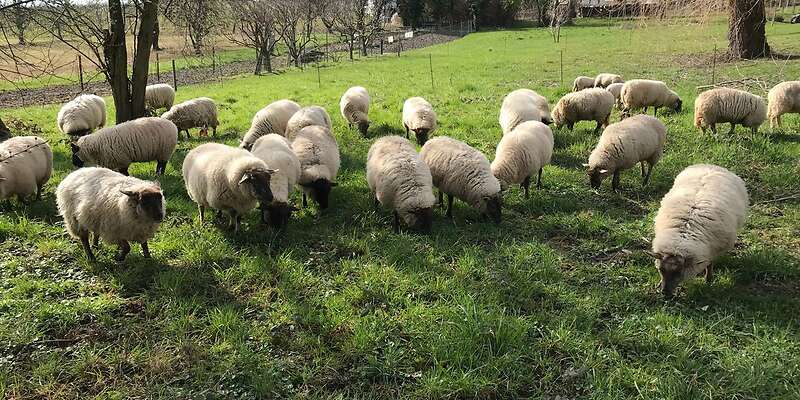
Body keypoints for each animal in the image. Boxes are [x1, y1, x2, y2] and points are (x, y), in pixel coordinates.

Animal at [650, 164, 748, 298]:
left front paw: (708, 280)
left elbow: (710, 264)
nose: (665, 293)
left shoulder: (713, 249)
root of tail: (711, 166)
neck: (682, 237)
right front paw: (659, 283)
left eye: (678, 272)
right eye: (661, 270)